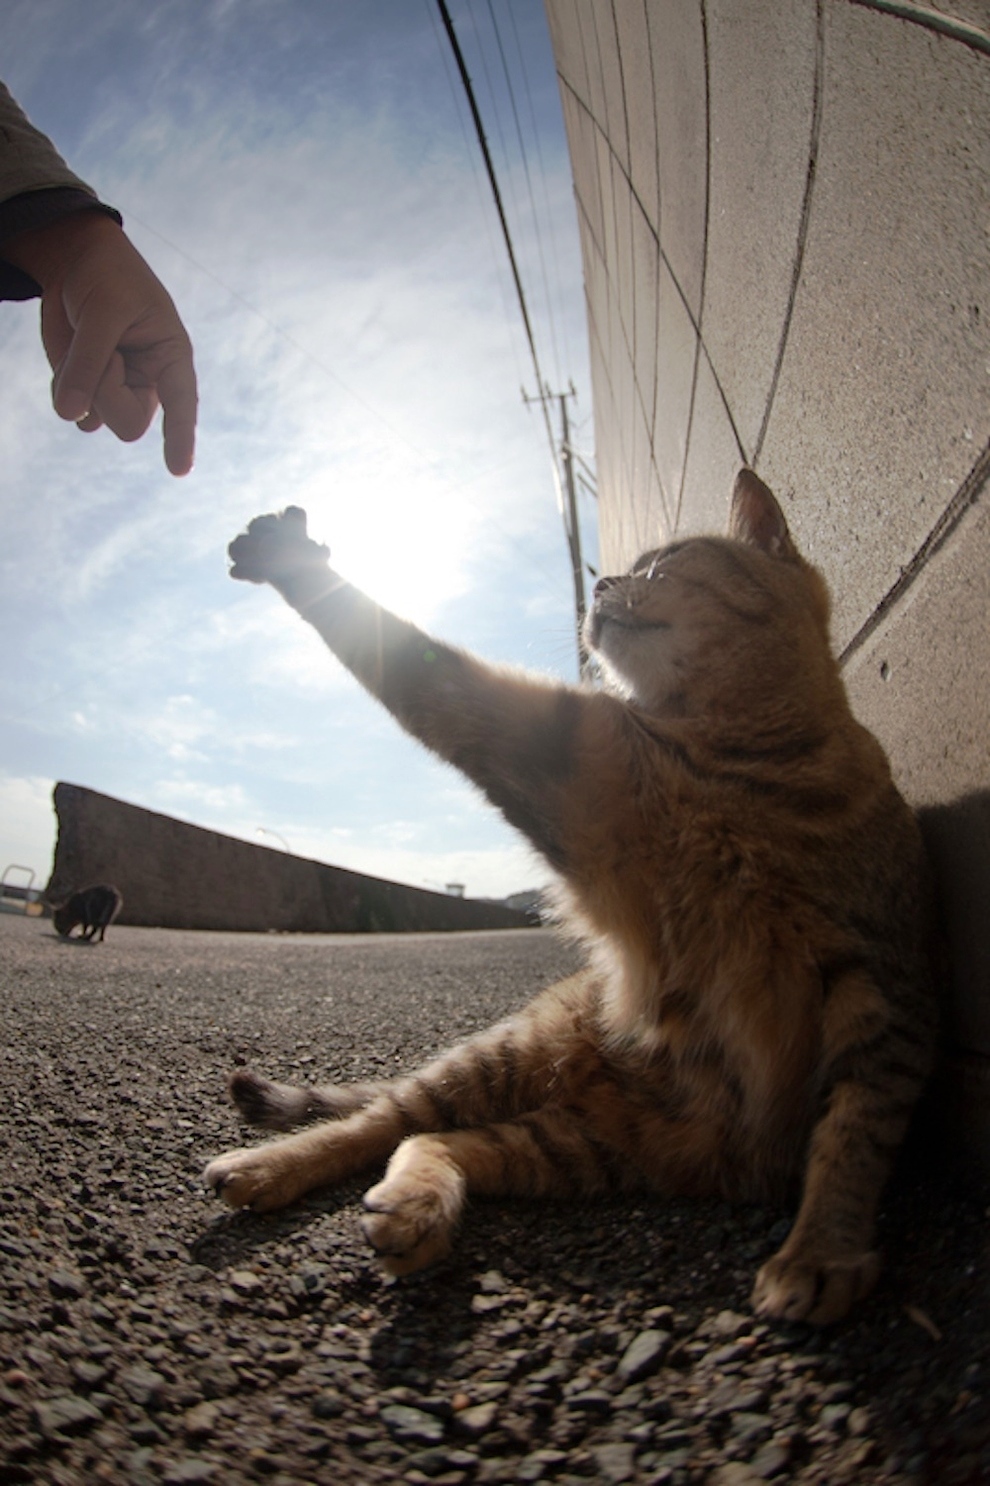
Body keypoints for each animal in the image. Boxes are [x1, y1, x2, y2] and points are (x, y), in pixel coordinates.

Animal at [208, 472, 933, 1325]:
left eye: (665, 561)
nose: (603, 579)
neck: (743, 765)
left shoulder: (885, 992)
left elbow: (855, 1134)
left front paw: (822, 1247)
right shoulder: (560, 749)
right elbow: (413, 661)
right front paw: (297, 564)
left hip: (590, 1145)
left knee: (432, 1140)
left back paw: (415, 1207)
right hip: (506, 1060)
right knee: (381, 1120)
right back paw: (270, 1168)